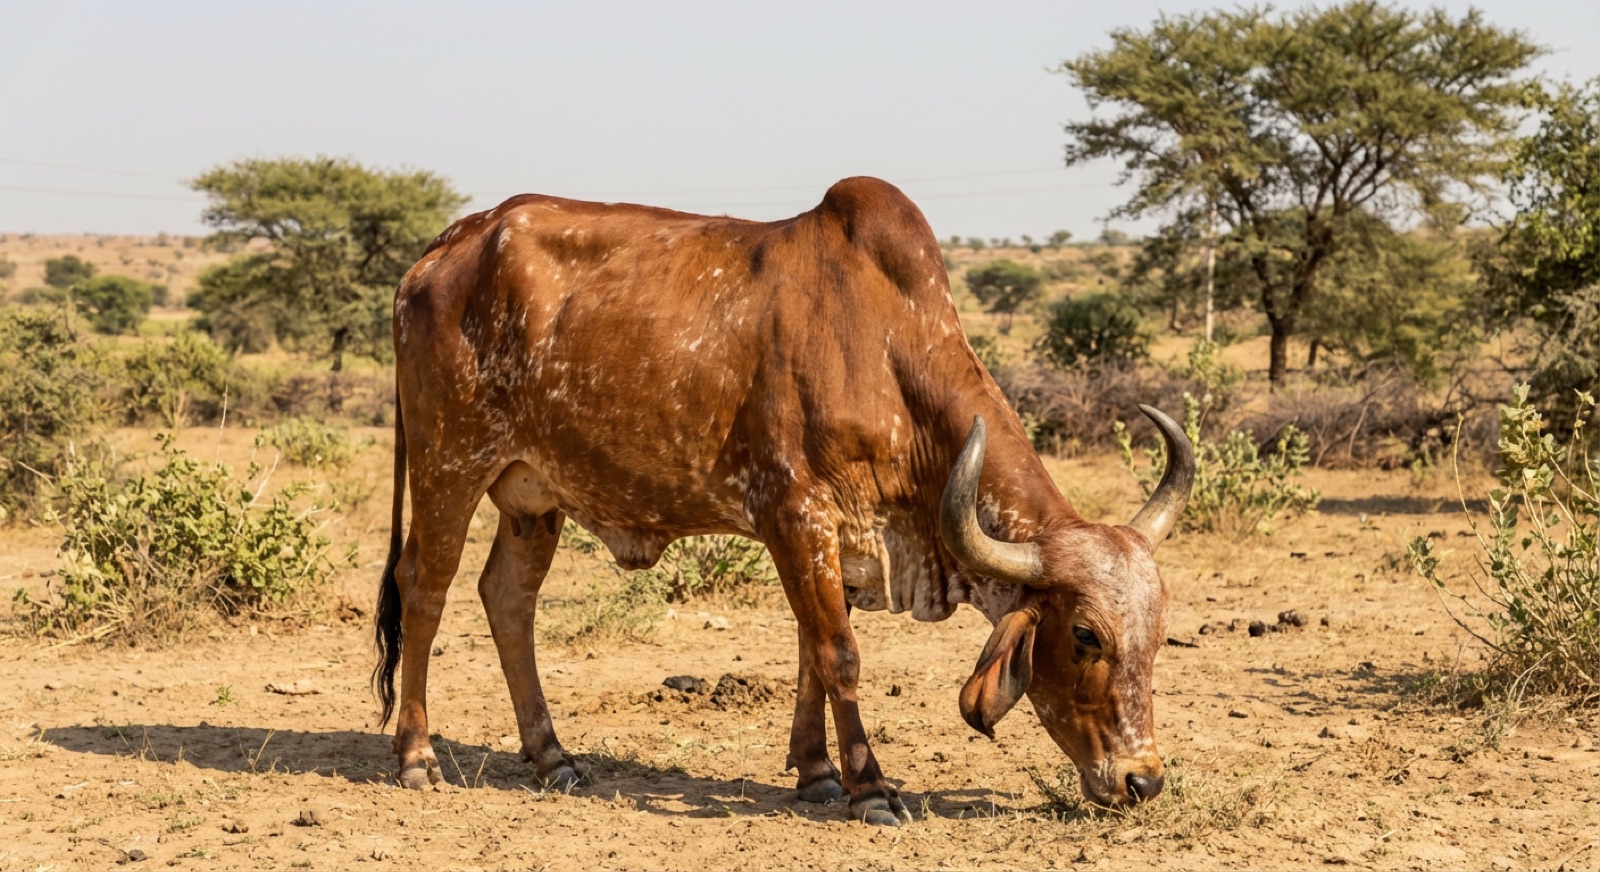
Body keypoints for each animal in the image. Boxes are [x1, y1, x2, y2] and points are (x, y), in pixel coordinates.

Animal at [371, 176, 1194, 826]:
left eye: (1158, 637)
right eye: (1085, 636)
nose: (1142, 780)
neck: (886, 349)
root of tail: (449, 244)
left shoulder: (836, 541)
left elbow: (809, 654)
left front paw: (819, 773)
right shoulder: (796, 516)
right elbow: (840, 655)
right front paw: (870, 789)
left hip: (532, 497)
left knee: (507, 597)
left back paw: (553, 757)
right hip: (450, 466)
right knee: (426, 589)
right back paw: (416, 756)